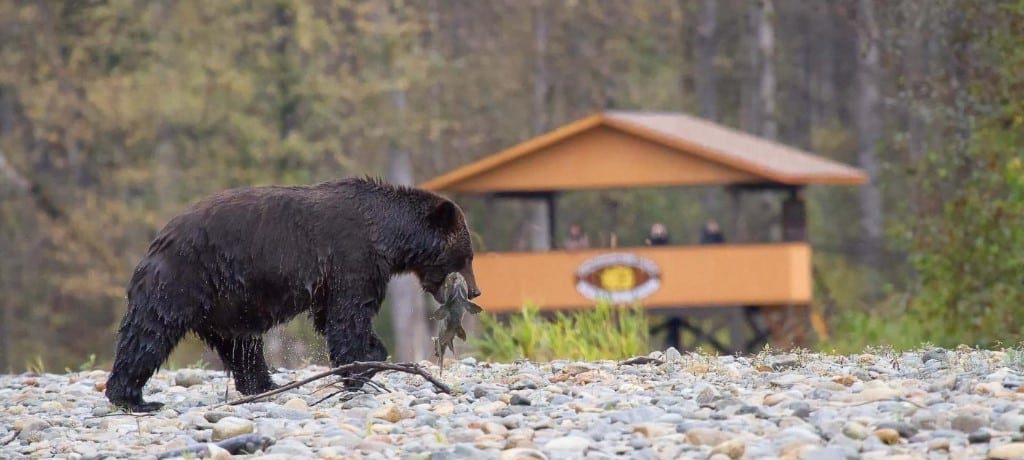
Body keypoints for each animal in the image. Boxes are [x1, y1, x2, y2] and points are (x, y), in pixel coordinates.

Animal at [105, 177, 481, 409]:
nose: (476, 291)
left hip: (228, 304)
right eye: (466, 256)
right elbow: (349, 316)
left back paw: (262, 386)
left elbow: (333, 317)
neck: (387, 238)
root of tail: (160, 236)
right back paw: (134, 398)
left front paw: (366, 361)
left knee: (242, 346)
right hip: (184, 280)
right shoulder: (352, 257)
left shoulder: (339, 276)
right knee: (149, 333)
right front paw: (360, 368)